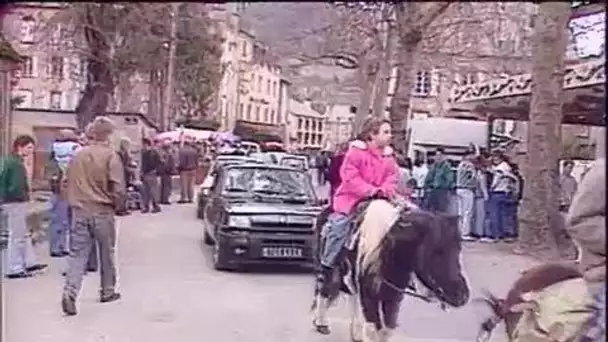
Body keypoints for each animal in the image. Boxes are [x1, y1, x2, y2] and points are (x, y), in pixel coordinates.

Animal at [312, 199, 468, 340]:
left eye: (458, 248)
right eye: (436, 251)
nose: (462, 295)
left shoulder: (393, 297)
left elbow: (386, 330)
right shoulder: (369, 296)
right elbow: (372, 329)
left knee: (351, 295)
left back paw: (354, 333)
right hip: (331, 268)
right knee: (325, 289)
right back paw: (321, 324)